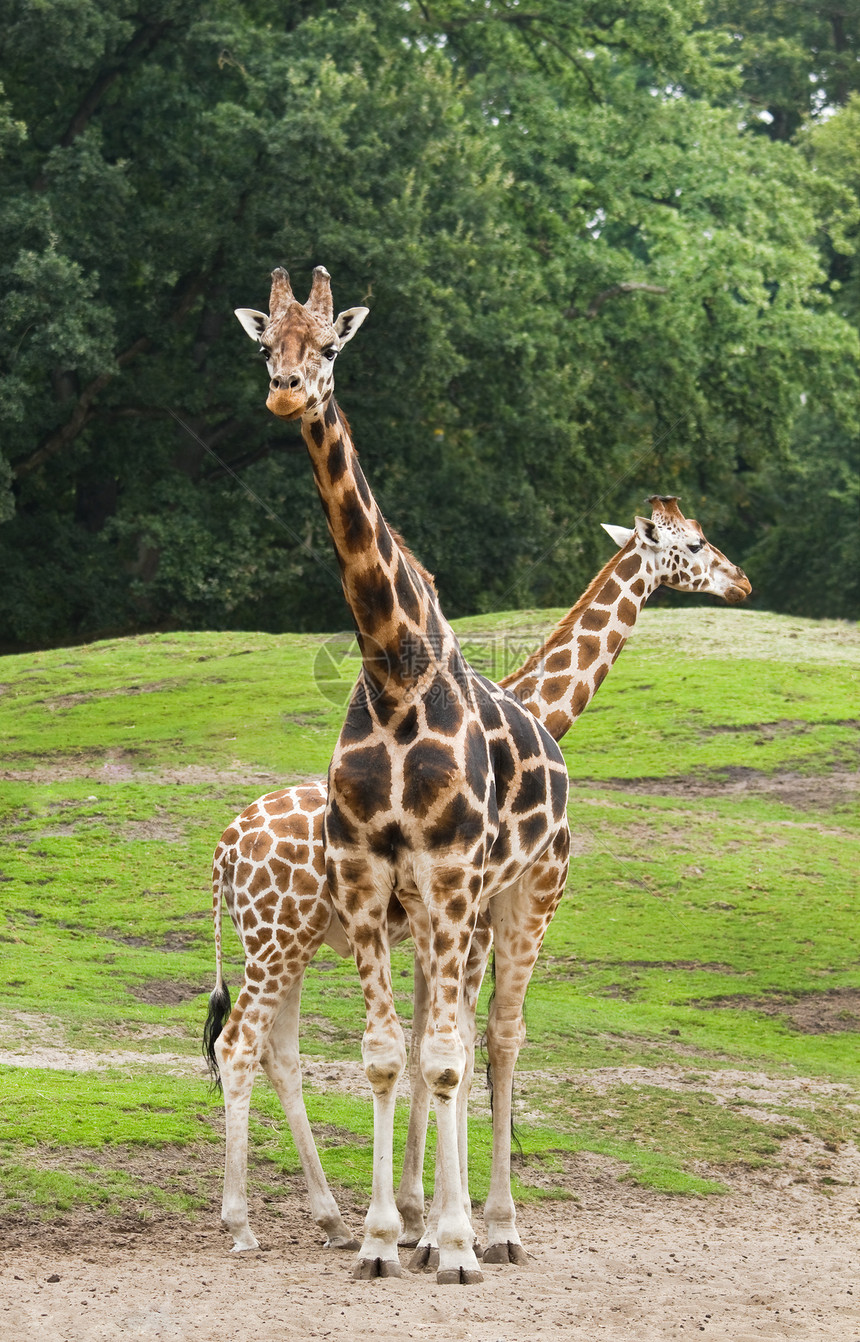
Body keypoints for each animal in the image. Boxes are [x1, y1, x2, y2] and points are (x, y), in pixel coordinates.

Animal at [202, 496, 751, 1256]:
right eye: (695, 544)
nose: (741, 582)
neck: (534, 711)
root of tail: (224, 851)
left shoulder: (436, 931)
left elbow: (428, 1044)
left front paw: (416, 1217)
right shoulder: (481, 924)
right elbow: (464, 1044)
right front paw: (446, 1227)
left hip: (285, 942)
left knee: (276, 1054)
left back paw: (331, 1218)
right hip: (277, 938)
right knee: (238, 1046)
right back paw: (241, 1224)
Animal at [230, 261, 574, 1277]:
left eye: (328, 345)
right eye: (266, 344)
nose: (287, 390)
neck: (394, 671)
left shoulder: (454, 875)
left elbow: (448, 1056)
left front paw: (450, 1244)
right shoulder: (368, 876)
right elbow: (389, 1054)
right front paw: (385, 1238)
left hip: (527, 896)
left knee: (499, 1038)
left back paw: (496, 1228)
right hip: (428, 913)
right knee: (435, 1038)